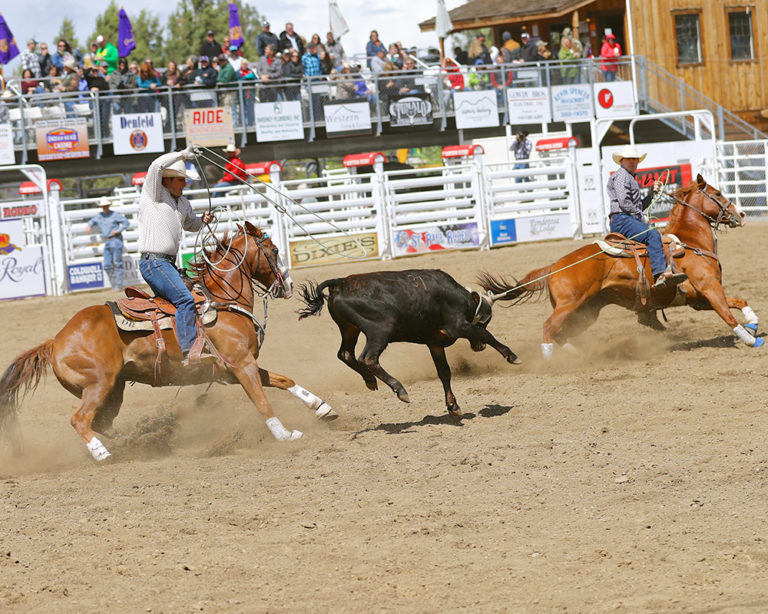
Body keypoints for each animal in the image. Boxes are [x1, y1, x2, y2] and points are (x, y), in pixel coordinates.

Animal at [1, 223, 334, 462]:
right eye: (274, 250)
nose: (288, 285)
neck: (222, 301)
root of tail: (55, 340)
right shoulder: (241, 365)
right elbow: (262, 401)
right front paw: (285, 435)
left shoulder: (236, 369)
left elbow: (283, 380)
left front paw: (321, 406)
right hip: (99, 385)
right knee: (80, 420)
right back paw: (105, 454)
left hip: (113, 389)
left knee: (102, 423)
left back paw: (143, 441)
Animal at [480, 176, 760, 358]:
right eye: (717, 193)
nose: (742, 215)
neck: (690, 243)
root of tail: (556, 265)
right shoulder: (710, 289)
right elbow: (727, 314)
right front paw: (750, 339)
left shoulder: (698, 298)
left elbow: (740, 301)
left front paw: (754, 323)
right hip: (569, 305)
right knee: (549, 327)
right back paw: (551, 360)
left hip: (585, 311)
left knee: (560, 333)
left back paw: (575, 354)